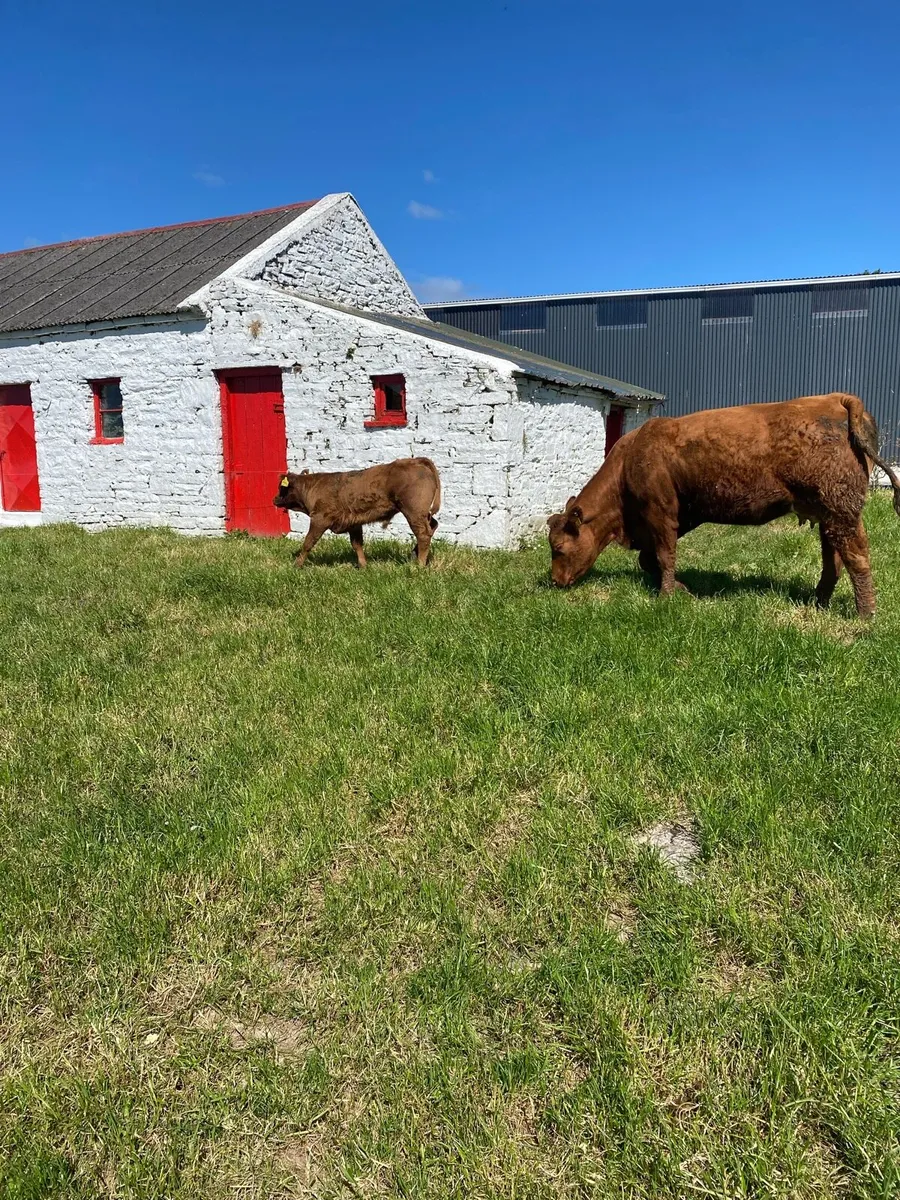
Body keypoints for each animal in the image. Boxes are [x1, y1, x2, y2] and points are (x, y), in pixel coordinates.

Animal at [273, 457, 441, 568]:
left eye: (282, 487)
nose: (274, 499)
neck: (312, 487)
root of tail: (415, 460)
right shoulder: (353, 523)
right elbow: (357, 544)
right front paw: (363, 565)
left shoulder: (320, 519)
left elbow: (308, 542)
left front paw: (297, 565)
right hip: (422, 514)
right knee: (433, 526)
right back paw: (414, 555)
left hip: (413, 512)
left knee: (423, 534)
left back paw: (419, 565)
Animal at [547, 393, 900, 617]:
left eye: (559, 548)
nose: (554, 581)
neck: (630, 458)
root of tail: (838, 398)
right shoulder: (674, 518)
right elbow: (650, 559)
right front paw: (681, 588)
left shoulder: (661, 514)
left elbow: (663, 556)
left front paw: (667, 595)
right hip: (828, 515)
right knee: (834, 559)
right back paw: (818, 602)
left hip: (842, 512)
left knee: (856, 556)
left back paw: (865, 615)